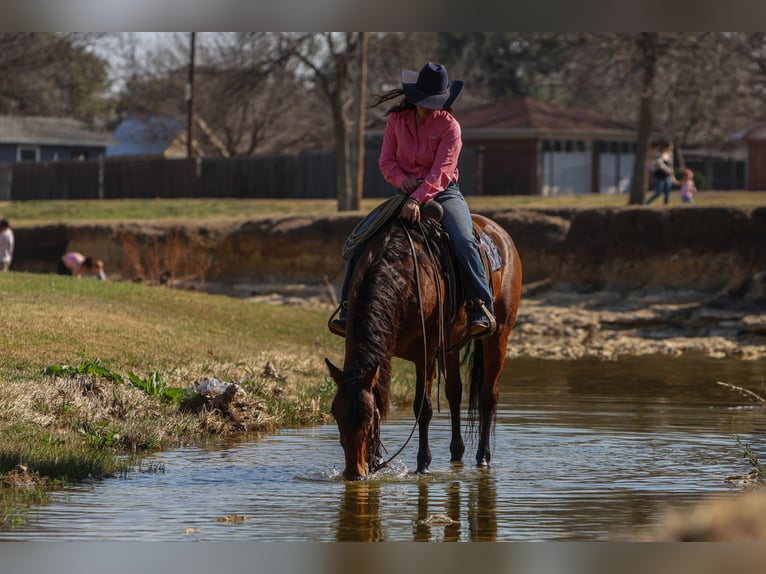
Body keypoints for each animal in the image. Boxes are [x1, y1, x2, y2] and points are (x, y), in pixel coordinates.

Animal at [328, 212, 524, 482]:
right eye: (335, 414)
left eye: (369, 418)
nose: (354, 474)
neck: (403, 277)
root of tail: (501, 235)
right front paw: (377, 461)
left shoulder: (426, 354)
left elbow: (424, 408)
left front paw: (423, 464)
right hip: (451, 346)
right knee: (454, 393)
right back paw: (456, 453)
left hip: (498, 336)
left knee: (488, 395)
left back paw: (482, 457)